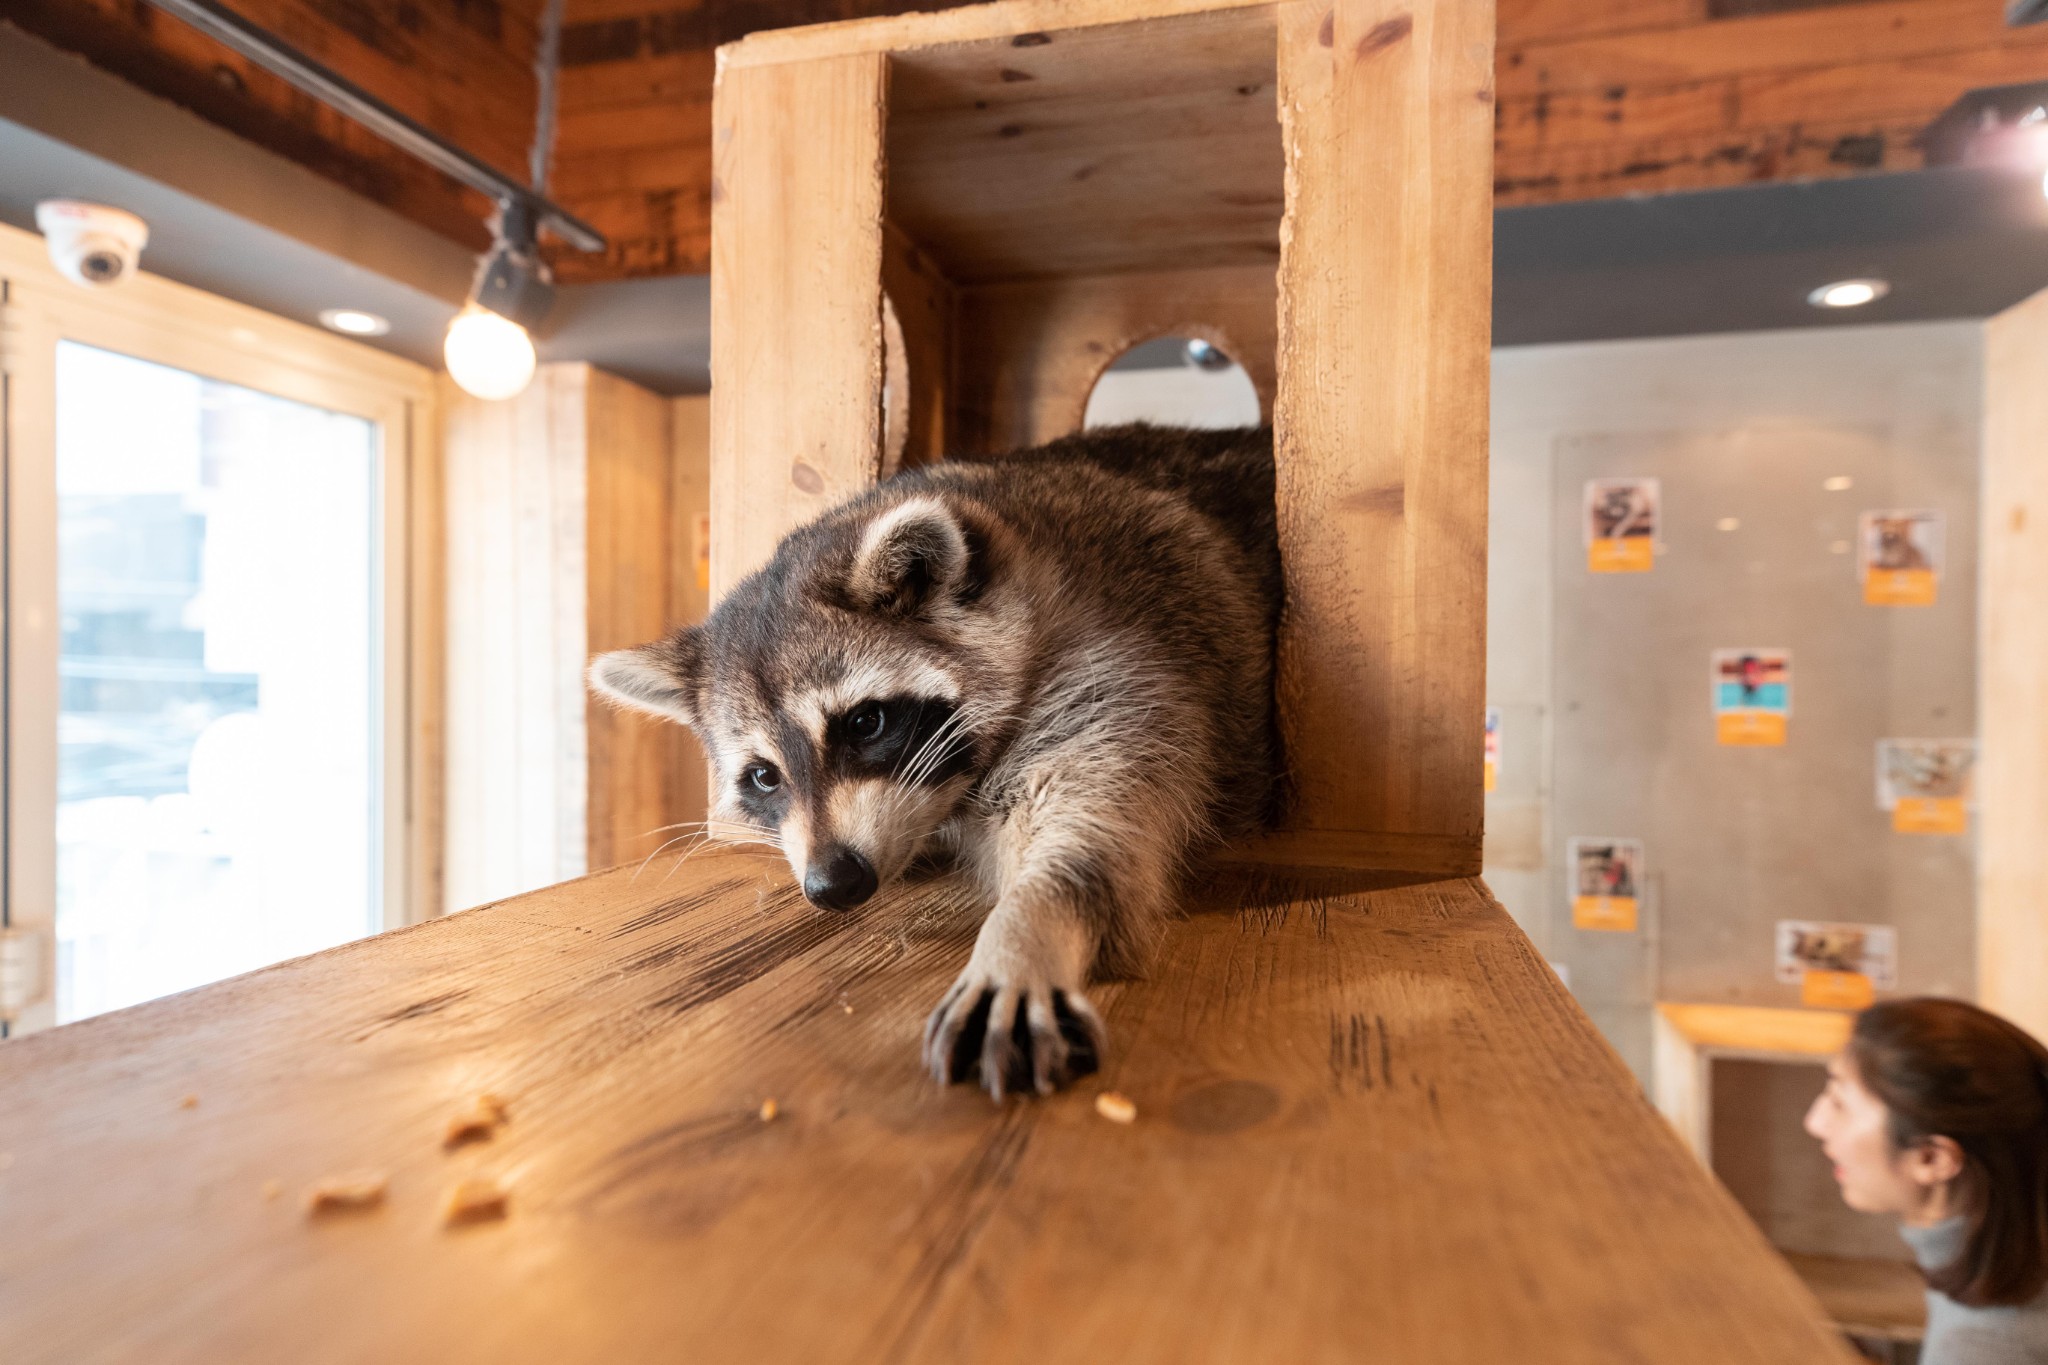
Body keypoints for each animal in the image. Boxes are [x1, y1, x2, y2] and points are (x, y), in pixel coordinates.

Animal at [585, 423, 1277, 1096]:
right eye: (763, 776)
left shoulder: (1116, 670)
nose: (833, 883)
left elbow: (1089, 838)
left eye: (865, 723)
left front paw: (1028, 929)